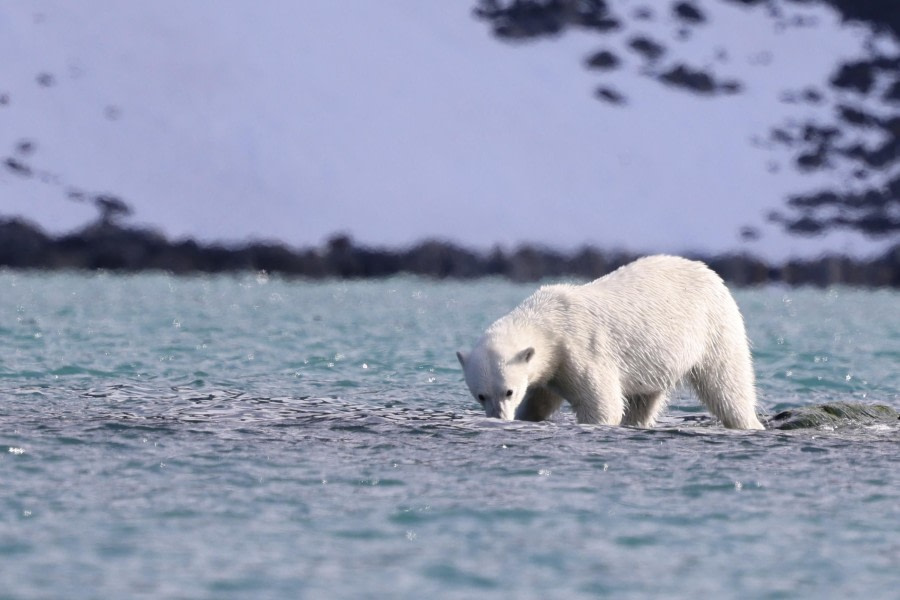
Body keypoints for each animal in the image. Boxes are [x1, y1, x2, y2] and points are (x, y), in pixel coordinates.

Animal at [456, 255, 764, 430]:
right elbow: (539, 401)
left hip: (714, 327)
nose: (498, 417)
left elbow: (602, 403)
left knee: (726, 383)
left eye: (508, 391)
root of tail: (709, 272)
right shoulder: (554, 367)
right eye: (481, 395)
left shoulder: (581, 348)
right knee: (644, 398)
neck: (549, 319)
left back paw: (749, 423)